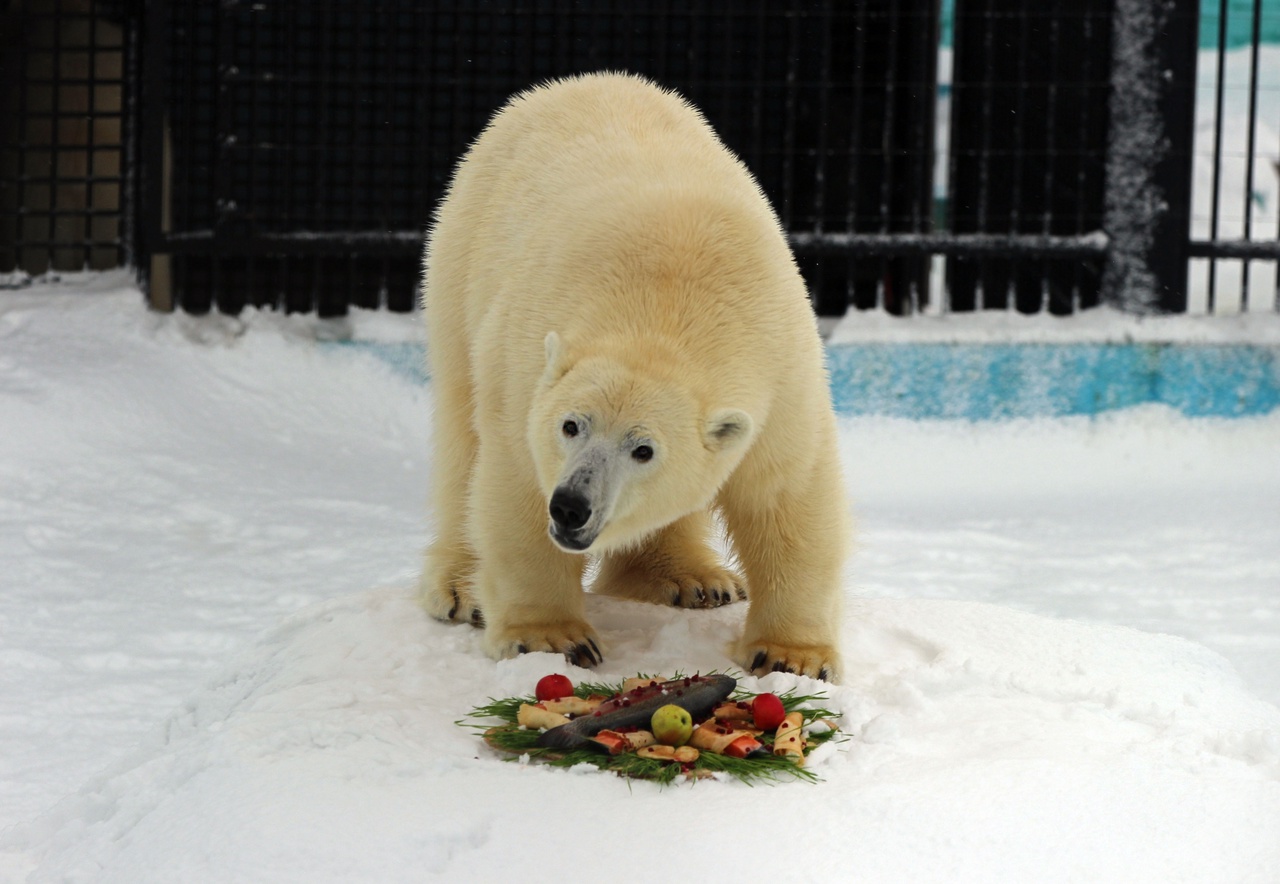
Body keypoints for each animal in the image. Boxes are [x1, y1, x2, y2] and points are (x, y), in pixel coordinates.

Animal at [419, 72, 855, 680]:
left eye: (644, 450)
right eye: (571, 426)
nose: (571, 506)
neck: (668, 303)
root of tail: (575, 83)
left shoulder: (782, 372)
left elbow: (787, 494)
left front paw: (793, 656)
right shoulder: (526, 367)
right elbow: (515, 485)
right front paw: (549, 637)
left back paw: (692, 579)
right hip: (461, 258)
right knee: (463, 433)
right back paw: (462, 589)